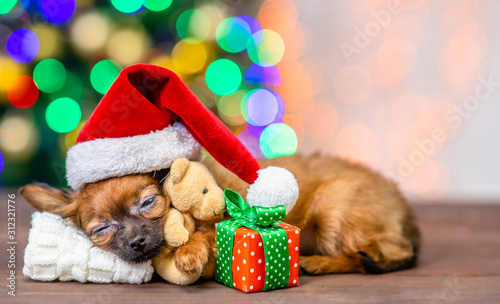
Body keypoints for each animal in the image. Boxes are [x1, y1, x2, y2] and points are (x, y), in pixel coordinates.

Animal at [19, 154, 420, 276]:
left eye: (147, 203)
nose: (136, 242)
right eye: (102, 228)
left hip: (335, 210)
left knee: (373, 255)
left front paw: (189, 252)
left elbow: (208, 232)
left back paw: (318, 263)